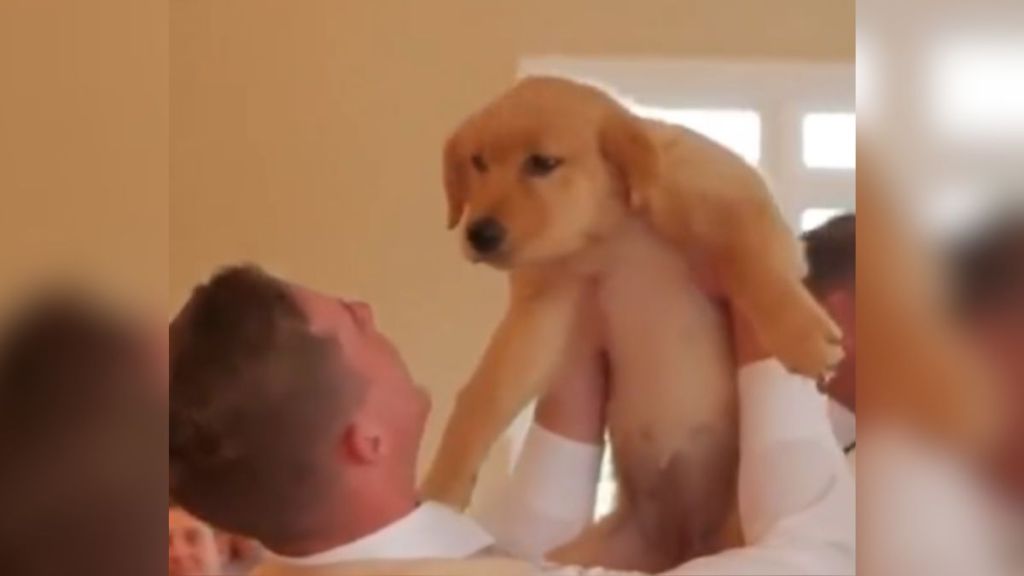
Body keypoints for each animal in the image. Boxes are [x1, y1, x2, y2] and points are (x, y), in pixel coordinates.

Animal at [421, 76, 839, 569]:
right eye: (478, 163)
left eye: (543, 163)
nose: (479, 234)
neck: (611, 228)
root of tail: (682, 546)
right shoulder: (541, 310)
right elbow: (485, 394)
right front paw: (440, 490)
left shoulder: (735, 198)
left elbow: (754, 261)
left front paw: (803, 337)